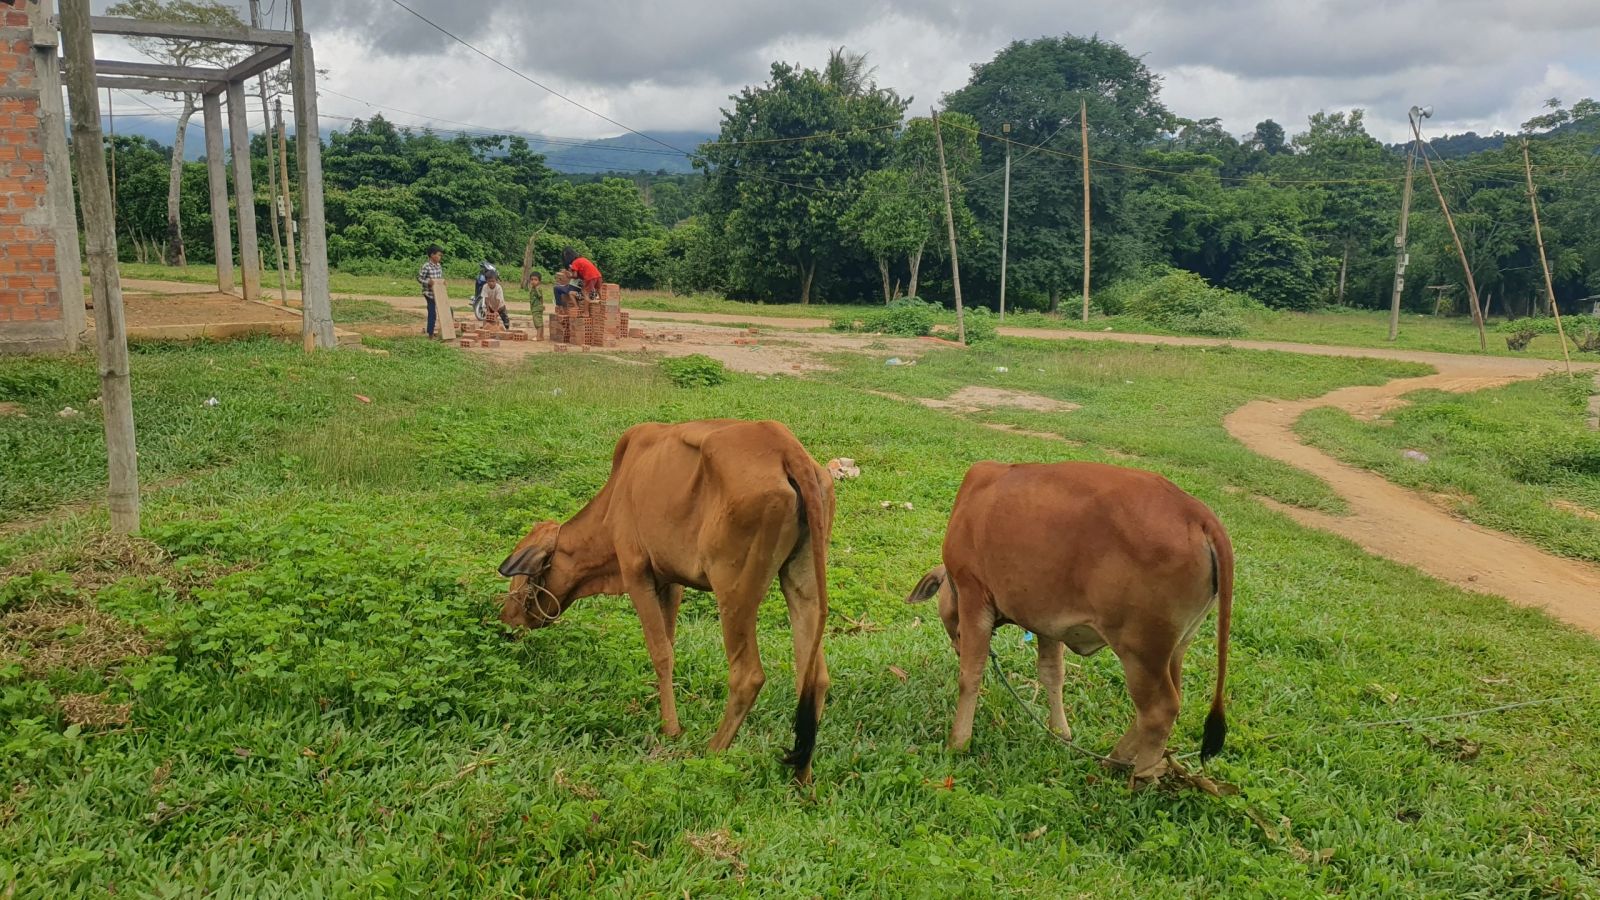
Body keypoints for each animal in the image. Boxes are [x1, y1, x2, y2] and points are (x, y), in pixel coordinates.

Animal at [908, 458, 1228, 781]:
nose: (957, 644)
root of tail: (1197, 515)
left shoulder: (974, 595)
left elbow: (970, 675)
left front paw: (958, 743)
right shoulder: (1048, 621)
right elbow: (1052, 673)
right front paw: (1060, 732)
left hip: (1141, 651)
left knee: (1159, 711)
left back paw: (1139, 778)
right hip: (1175, 648)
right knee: (1169, 702)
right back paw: (1115, 760)